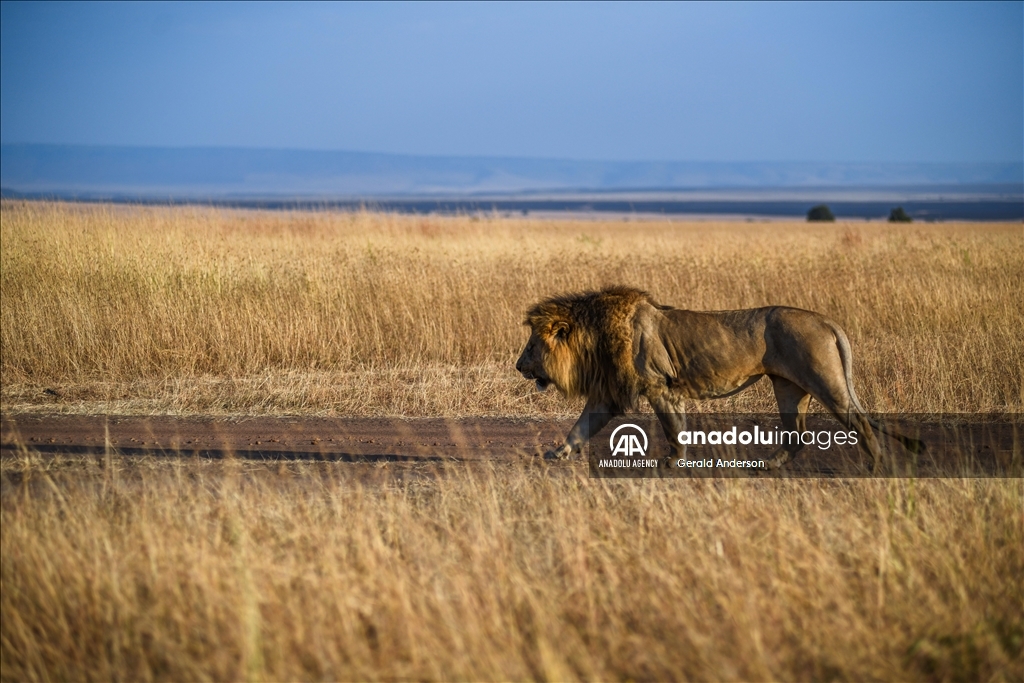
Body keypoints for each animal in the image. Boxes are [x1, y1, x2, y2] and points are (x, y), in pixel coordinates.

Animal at [516, 284, 925, 471]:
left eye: (532, 345)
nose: (519, 366)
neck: (594, 337)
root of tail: (826, 320)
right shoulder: (611, 393)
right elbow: (581, 426)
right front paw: (559, 452)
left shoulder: (657, 386)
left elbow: (672, 428)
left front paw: (673, 461)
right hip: (789, 388)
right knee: (797, 433)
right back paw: (770, 465)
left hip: (824, 380)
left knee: (859, 421)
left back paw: (875, 465)